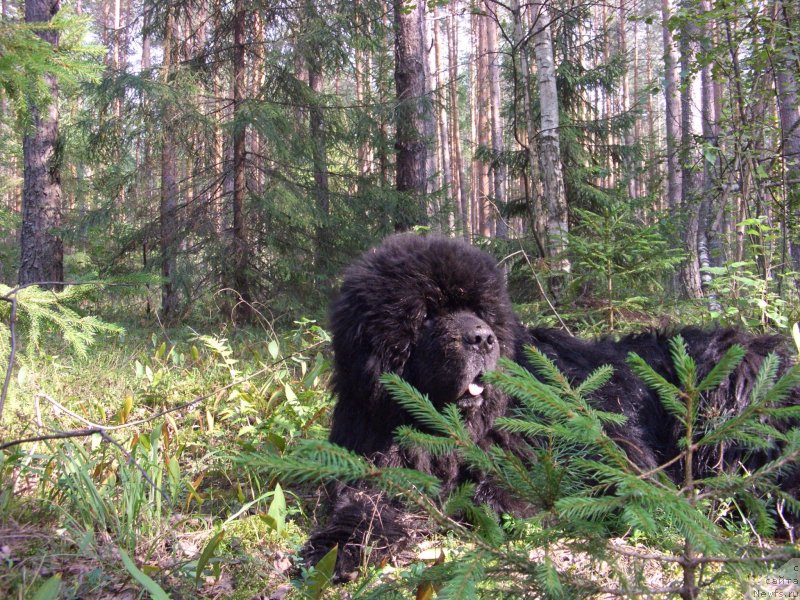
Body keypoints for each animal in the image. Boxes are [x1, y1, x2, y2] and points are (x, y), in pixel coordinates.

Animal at [302, 233, 800, 576]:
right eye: (426, 315)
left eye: (479, 309)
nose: (482, 338)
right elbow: (363, 506)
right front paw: (335, 548)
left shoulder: (603, 457)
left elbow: (505, 492)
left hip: (728, 387)